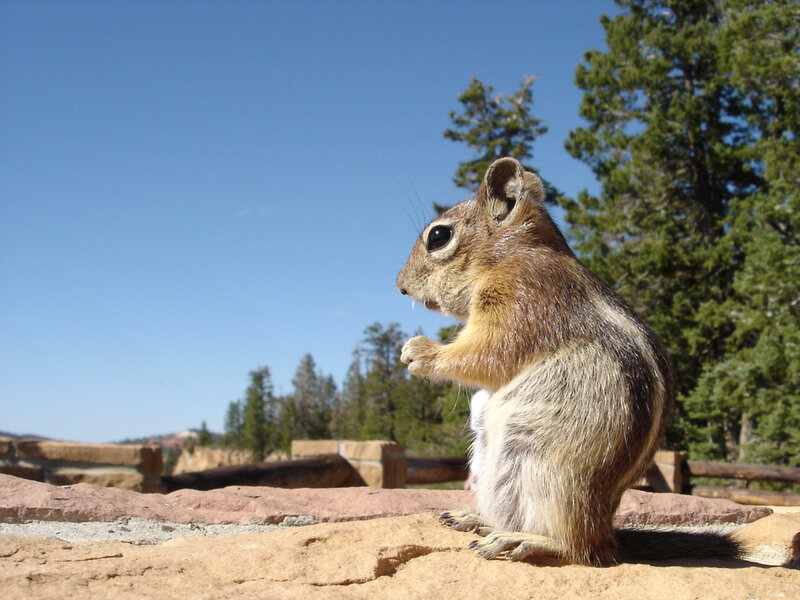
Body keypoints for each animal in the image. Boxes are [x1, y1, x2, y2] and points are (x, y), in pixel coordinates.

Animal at [396, 157, 740, 566]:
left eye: (438, 236)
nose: (400, 286)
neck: (512, 255)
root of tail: (607, 531)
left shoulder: (522, 299)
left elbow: (487, 354)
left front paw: (419, 351)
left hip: (554, 476)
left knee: (577, 548)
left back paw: (516, 540)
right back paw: (475, 520)